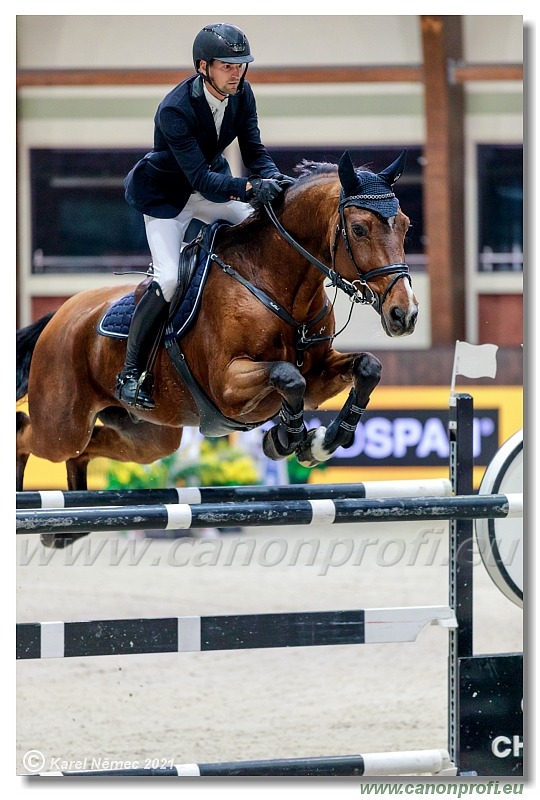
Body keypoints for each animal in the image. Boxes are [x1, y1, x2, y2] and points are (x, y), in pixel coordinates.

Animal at [15, 151, 418, 548]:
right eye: (360, 229)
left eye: (405, 225)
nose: (405, 314)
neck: (274, 284)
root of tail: (59, 316)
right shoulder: (228, 386)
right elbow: (288, 377)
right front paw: (285, 439)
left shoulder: (318, 377)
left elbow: (367, 367)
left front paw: (321, 442)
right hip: (63, 423)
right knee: (28, 433)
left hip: (148, 435)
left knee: (85, 451)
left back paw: (65, 532)